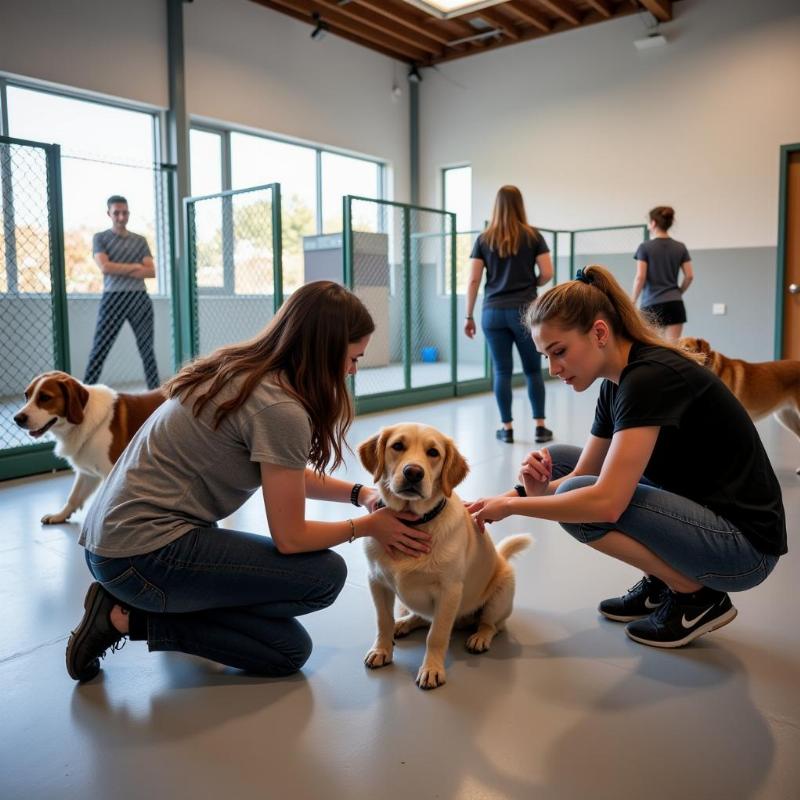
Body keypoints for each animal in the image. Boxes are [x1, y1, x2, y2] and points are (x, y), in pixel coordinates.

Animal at [13, 370, 165, 520]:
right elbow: (74, 496)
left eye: (45, 397)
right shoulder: (87, 474)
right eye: (26, 395)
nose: (17, 418)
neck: (83, 419)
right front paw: (60, 515)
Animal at [358, 422, 532, 692]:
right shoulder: (376, 582)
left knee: (492, 624)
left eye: (433, 453)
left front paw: (431, 669)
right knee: (420, 617)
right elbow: (383, 621)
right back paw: (404, 622)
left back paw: (480, 637)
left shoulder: (449, 591)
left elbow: (437, 635)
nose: (413, 473)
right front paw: (381, 650)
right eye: (397, 446)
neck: (414, 521)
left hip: (503, 590)